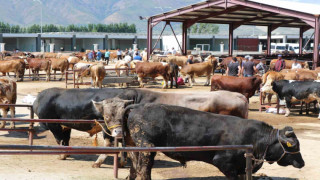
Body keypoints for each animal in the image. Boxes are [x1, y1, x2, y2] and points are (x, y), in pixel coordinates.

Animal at [120, 103, 304, 179]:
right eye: (293, 145)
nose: (302, 163)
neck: (256, 139)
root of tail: (139, 106)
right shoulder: (224, 162)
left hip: (136, 148)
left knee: (135, 169)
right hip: (147, 148)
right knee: (144, 170)